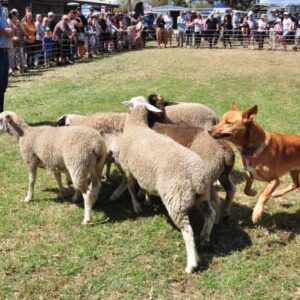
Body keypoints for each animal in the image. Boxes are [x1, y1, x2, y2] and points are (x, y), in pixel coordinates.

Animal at [106, 99, 218, 274]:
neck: (137, 125)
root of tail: (198, 177)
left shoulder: (128, 169)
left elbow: (130, 189)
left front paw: (137, 206)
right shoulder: (142, 172)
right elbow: (142, 188)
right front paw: (146, 199)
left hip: (176, 199)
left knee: (188, 231)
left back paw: (191, 264)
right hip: (202, 196)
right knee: (211, 214)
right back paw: (205, 237)